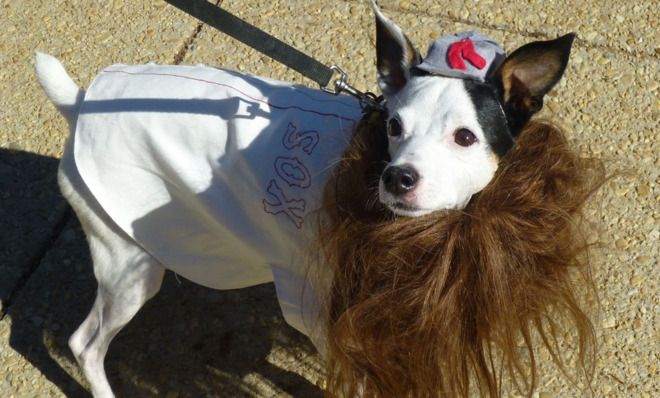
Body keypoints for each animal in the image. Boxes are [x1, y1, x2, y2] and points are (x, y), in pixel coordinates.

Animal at [34, 1, 600, 396]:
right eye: (393, 127)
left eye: (465, 137)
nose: (397, 177)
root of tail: (80, 102)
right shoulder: (318, 309)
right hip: (129, 267)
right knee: (85, 344)